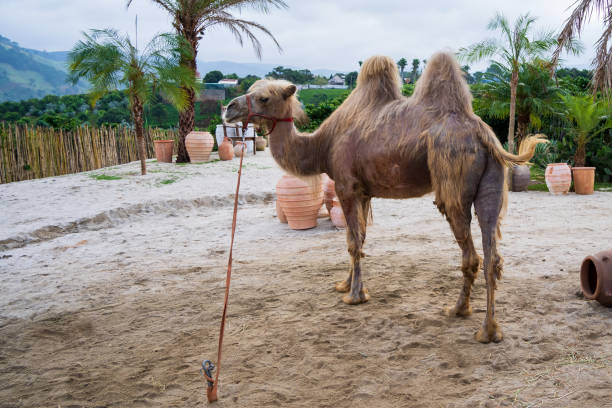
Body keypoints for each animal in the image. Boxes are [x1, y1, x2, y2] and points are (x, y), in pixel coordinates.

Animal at [226, 51, 544, 344]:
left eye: (264, 97)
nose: (229, 108)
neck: (322, 145)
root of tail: (483, 134)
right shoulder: (364, 192)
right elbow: (360, 239)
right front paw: (345, 284)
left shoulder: (346, 187)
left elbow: (353, 242)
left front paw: (355, 296)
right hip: (493, 182)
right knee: (492, 254)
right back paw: (487, 328)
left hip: (452, 176)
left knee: (471, 253)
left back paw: (462, 313)